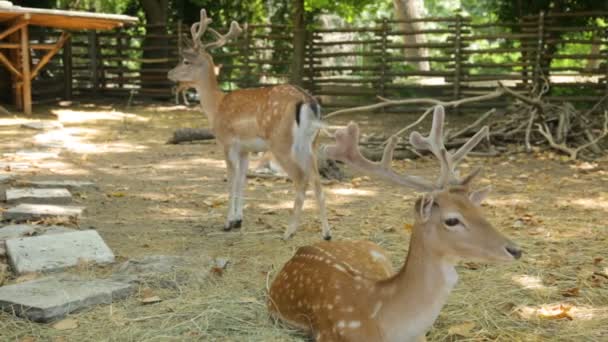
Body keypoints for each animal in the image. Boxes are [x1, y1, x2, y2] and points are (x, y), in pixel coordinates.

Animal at [167, 9, 332, 239]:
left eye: (185, 61)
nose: (169, 73)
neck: (216, 106)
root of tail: (308, 101)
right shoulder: (245, 149)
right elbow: (242, 179)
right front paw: (238, 220)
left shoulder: (227, 142)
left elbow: (231, 179)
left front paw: (228, 222)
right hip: (310, 144)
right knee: (317, 179)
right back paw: (326, 233)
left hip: (281, 143)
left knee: (301, 178)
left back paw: (289, 231)